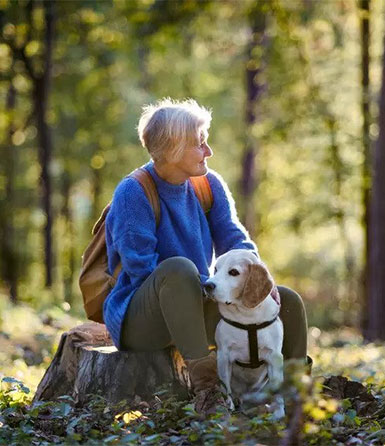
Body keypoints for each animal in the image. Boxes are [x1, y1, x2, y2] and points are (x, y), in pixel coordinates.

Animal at [204, 249, 282, 416]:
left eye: (233, 272)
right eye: (216, 269)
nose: (207, 285)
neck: (248, 318)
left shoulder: (275, 357)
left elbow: (278, 393)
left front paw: (280, 413)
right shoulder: (224, 356)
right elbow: (225, 388)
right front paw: (228, 407)